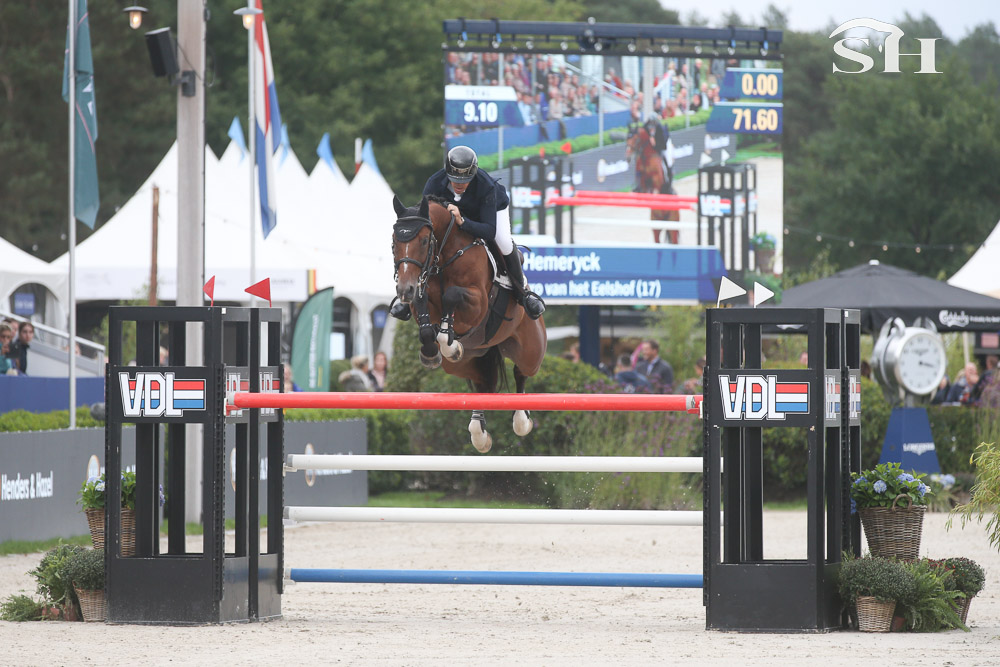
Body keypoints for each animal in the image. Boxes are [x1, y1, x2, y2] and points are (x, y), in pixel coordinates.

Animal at [391, 194, 547, 453]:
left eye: (424, 241)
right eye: (394, 242)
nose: (405, 290)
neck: (444, 254)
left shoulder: (479, 302)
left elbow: (451, 295)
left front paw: (449, 341)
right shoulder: (421, 290)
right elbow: (425, 318)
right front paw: (433, 351)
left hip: (531, 350)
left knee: (521, 371)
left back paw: (521, 420)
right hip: (464, 362)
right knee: (483, 383)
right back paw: (479, 432)